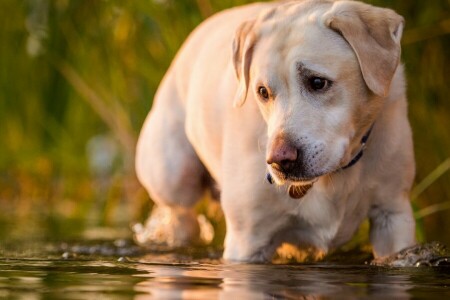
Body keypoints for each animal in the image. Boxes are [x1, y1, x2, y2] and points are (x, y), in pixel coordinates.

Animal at [135, 0, 416, 262]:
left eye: (317, 82)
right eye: (262, 92)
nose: (279, 161)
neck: (334, 175)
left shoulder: (393, 216)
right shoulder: (247, 241)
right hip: (173, 176)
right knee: (181, 214)